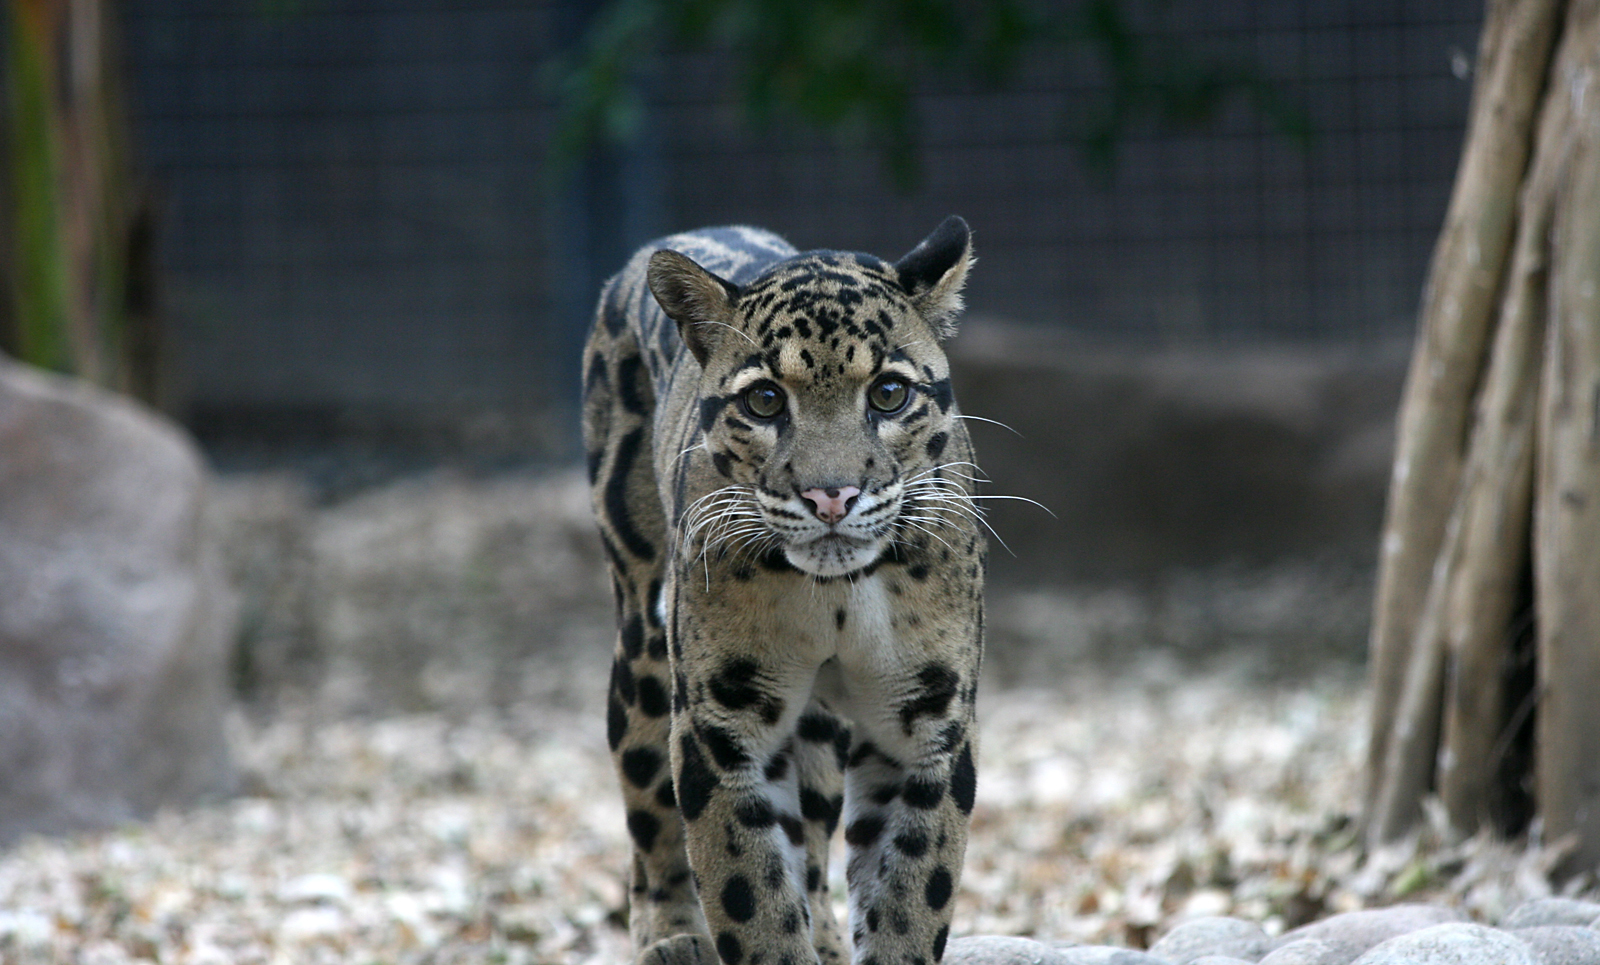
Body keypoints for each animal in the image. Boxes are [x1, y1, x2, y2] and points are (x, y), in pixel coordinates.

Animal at [582, 216, 986, 965]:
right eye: (765, 400)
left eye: (889, 393)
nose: (832, 495)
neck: (836, 595)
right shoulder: (722, 728)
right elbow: (751, 892)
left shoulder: (926, 722)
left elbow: (912, 892)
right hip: (643, 640)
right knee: (649, 815)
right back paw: (672, 935)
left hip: (819, 727)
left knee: (813, 842)